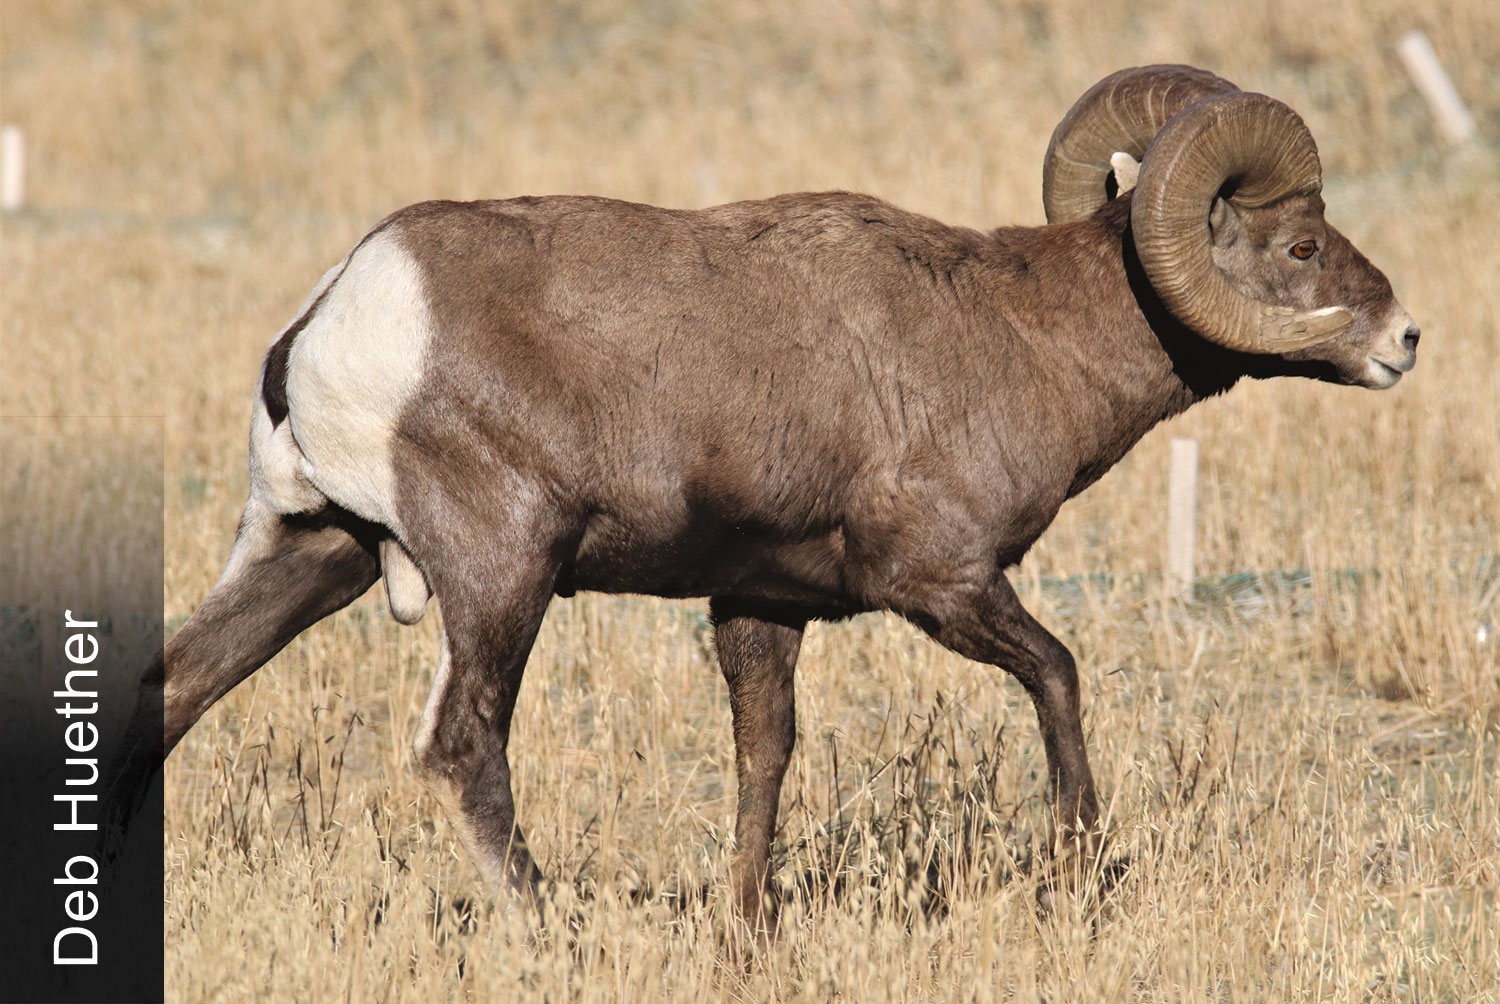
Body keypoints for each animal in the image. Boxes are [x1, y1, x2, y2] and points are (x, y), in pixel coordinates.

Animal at [105, 66, 1416, 930]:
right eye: (1301, 248)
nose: (1404, 339)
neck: (1021, 336)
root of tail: (333, 316)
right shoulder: (940, 580)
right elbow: (1058, 676)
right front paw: (1080, 879)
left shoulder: (762, 604)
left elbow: (763, 754)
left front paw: (750, 923)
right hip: (501, 572)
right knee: (461, 743)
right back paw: (553, 926)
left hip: (306, 548)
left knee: (173, 686)